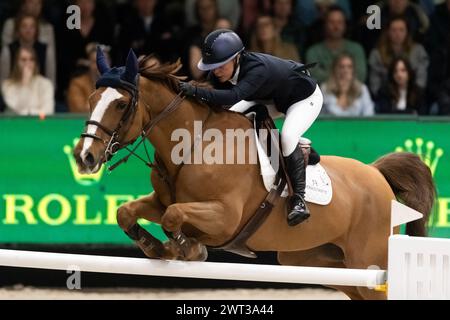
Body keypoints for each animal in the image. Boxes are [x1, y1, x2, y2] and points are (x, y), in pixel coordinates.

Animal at [74, 51, 436, 298]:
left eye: (121, 105)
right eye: (91, 98)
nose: (84, 156)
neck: (191, 144)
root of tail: (376, 174)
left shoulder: (224, 217)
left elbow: (173, 216)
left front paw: (187, 249)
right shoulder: (160, 200)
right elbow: (128, 212)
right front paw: (157, 248)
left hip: (370, 261)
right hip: (320, 262)